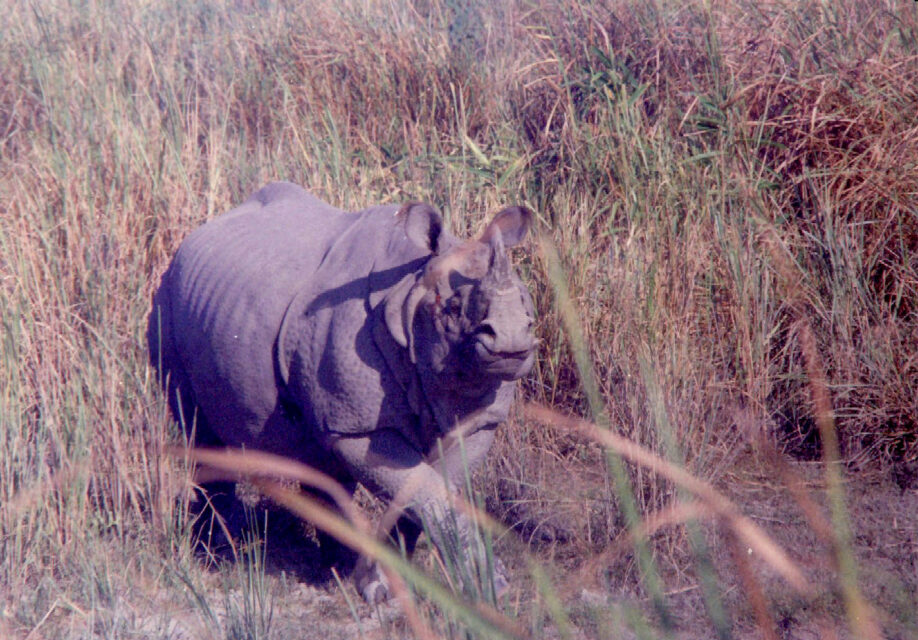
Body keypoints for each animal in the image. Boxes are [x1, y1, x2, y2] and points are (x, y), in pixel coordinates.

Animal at [147, 181, 535, 602]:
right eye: (451, 307)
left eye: (526, 302)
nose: (512, 339)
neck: (407, 293)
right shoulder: (360, 426)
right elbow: (424, 491)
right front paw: (482, 584)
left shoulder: (478, 421)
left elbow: (431, 492)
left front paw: (388, 584)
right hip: (166, 302)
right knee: (198, 426)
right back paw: (217, 552)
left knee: (318, 454)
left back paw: (332, 568)